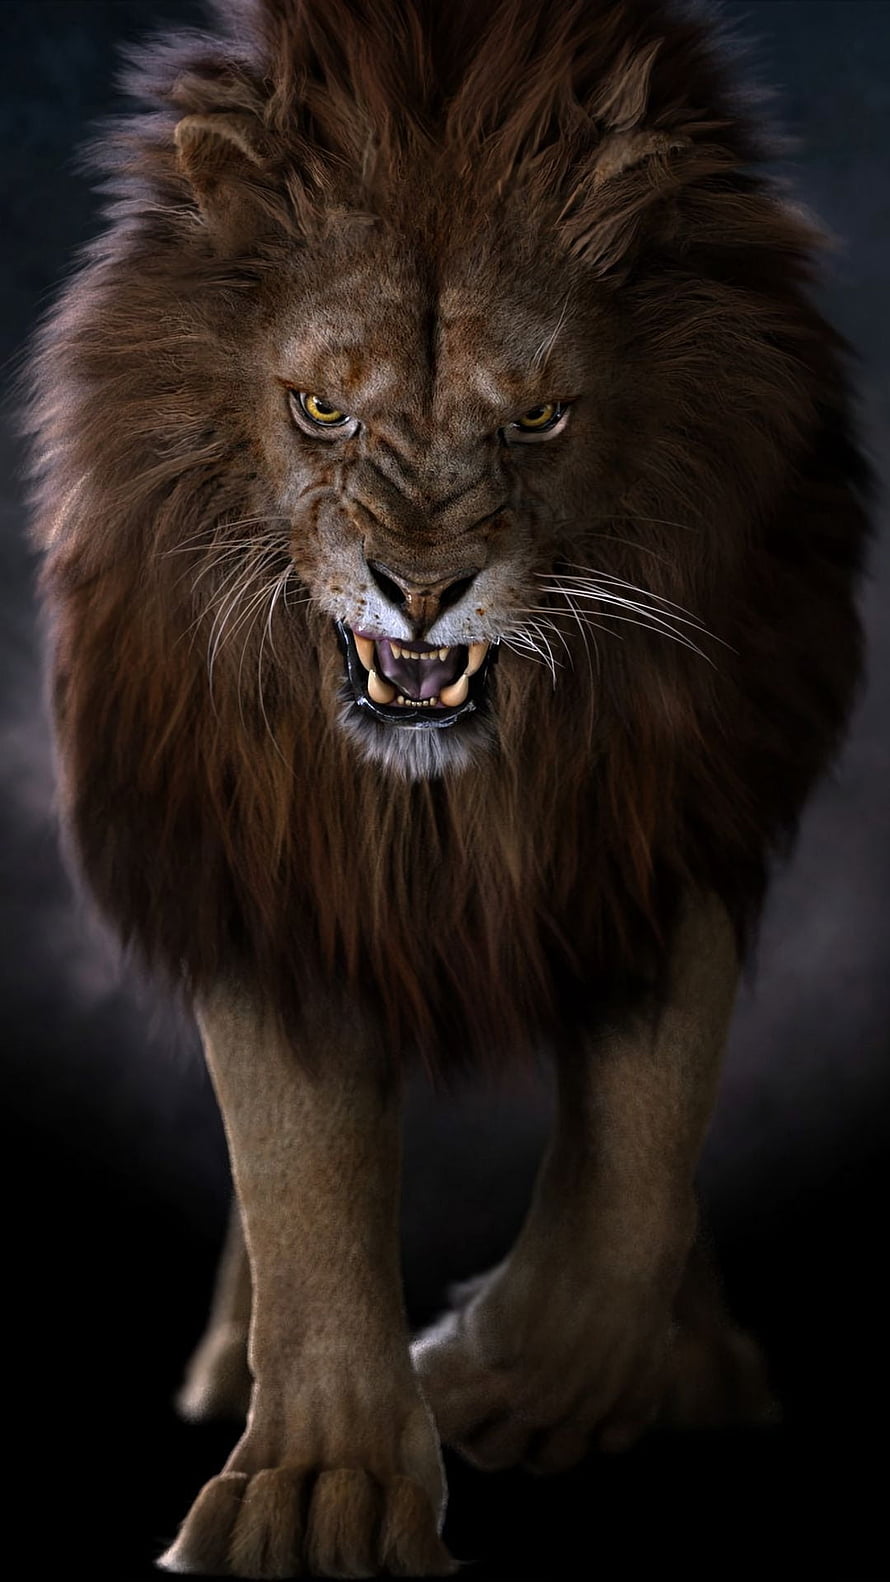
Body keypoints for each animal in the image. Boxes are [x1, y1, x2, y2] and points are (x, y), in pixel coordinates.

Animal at [23, 0, 873, 1575]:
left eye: (536, 419)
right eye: (317, 408)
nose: (419, 590)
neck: (445, 792)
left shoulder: (662, 811)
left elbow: (640, 1153)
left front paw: (517, 1380)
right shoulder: (263, 846)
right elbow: (299, 1178)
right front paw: (320, 1485)